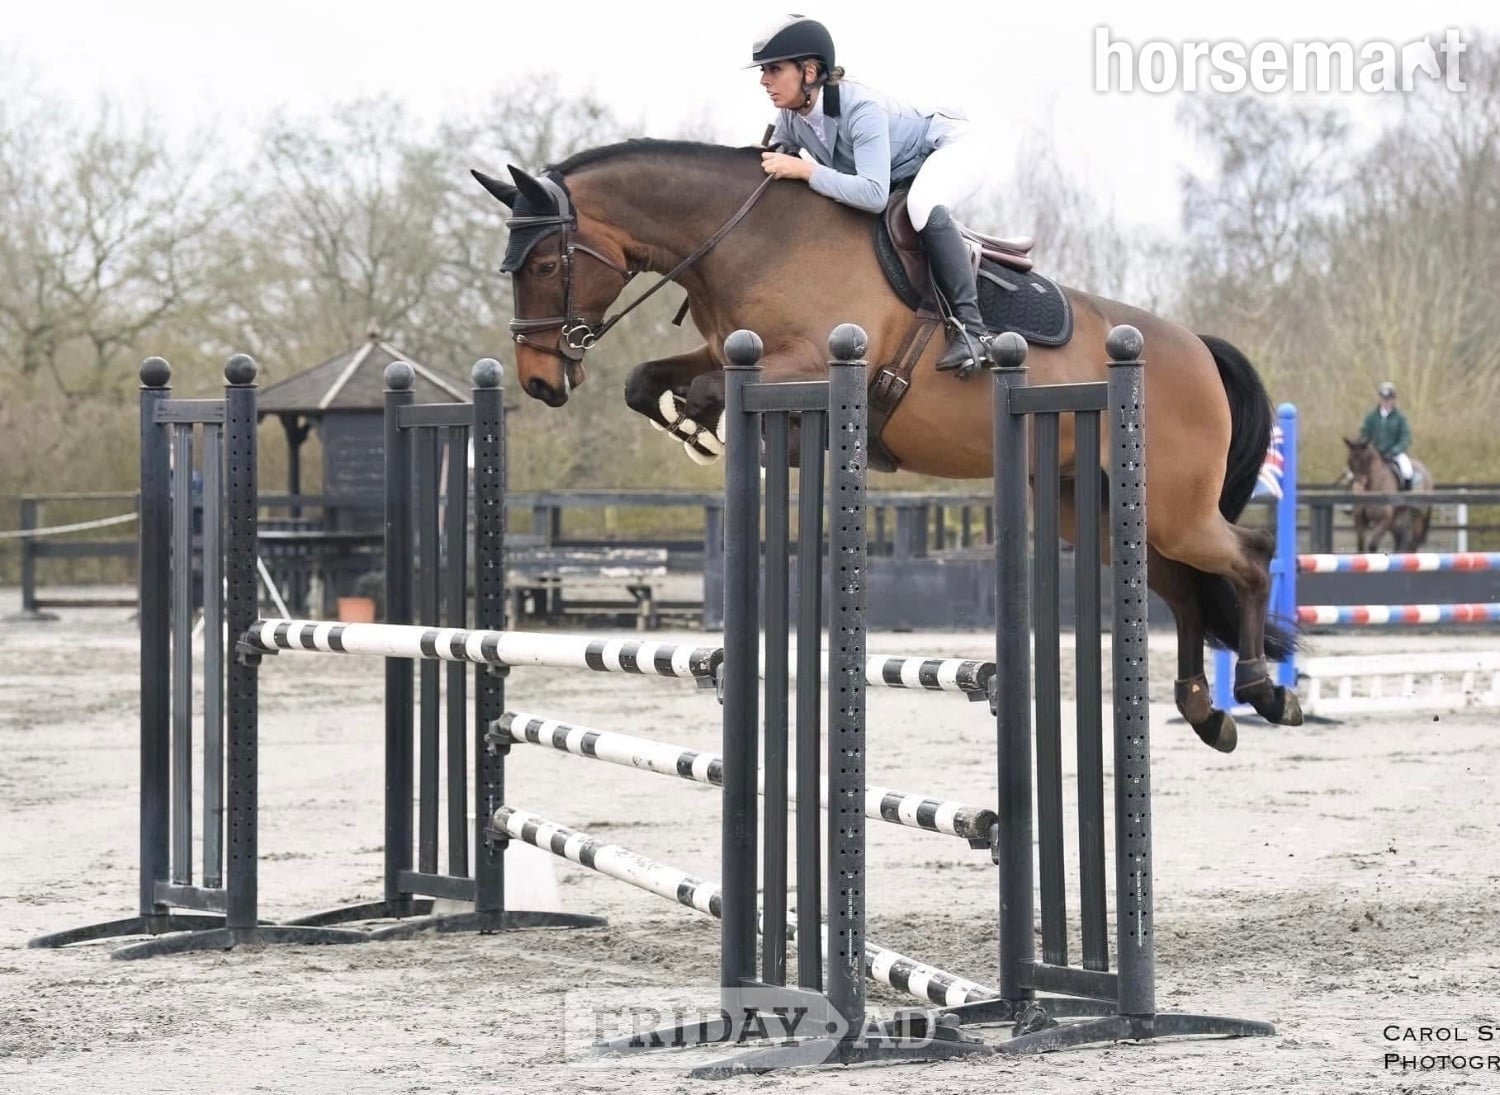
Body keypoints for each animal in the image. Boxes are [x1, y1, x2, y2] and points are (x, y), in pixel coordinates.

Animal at [471, 139, 1303, 753]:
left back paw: (1263, 689)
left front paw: (702, 423)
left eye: (543, 264)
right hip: (1096, 511)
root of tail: (1195, 347)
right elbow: (648, 381)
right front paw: (689, 427)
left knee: (1249, 556)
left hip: (1172, 508)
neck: (751, 238)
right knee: (1188, 589)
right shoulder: (728, 351)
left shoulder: (818, 361)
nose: (539, 380)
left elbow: (707, 388)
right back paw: (1206, 711)